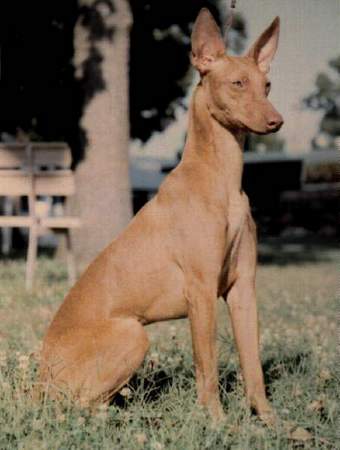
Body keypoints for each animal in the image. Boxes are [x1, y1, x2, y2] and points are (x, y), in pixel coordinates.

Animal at [38, 7, 284, 426]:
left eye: (266, 85)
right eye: (237, 83)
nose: (276, 121)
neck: (221, 179)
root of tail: (35, 380)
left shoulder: (242, 290)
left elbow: (253, 367)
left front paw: (270, 422)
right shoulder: (201, 292)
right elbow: (207, 368)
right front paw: (217, 423)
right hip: (133, 334)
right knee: (80, 408)